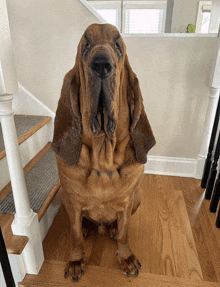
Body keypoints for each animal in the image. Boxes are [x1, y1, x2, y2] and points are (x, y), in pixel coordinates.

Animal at [51, 23, 156, 284]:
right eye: (85, 45)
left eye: (118, 45)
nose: (101, 64)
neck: (103, 161)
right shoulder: (73, 201)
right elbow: (75, 235)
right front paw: (76, 260)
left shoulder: (128, 202)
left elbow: (124, 232)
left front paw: (126, 257)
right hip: (63, 196)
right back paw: (89, 228)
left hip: (138, 196)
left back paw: (110, 229)